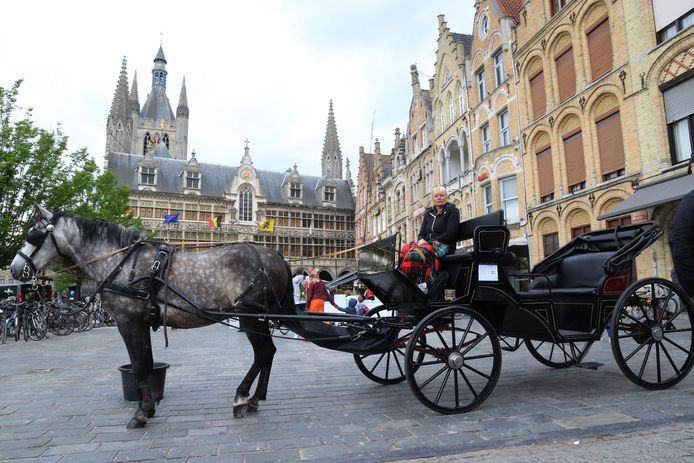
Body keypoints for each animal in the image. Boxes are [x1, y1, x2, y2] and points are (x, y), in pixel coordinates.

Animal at [10, 207, 294, 428]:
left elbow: (139, 364)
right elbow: (146, 362)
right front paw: (149, 406)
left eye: (33, 235)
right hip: (260, 317)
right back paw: (255, 399)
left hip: (251, 316)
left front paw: (142, 412)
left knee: (263, 352)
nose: (14, 268)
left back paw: (242, 397)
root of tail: (275, 255)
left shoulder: (128, 321)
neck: (121, 263)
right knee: (268, 352)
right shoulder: (142, 322)